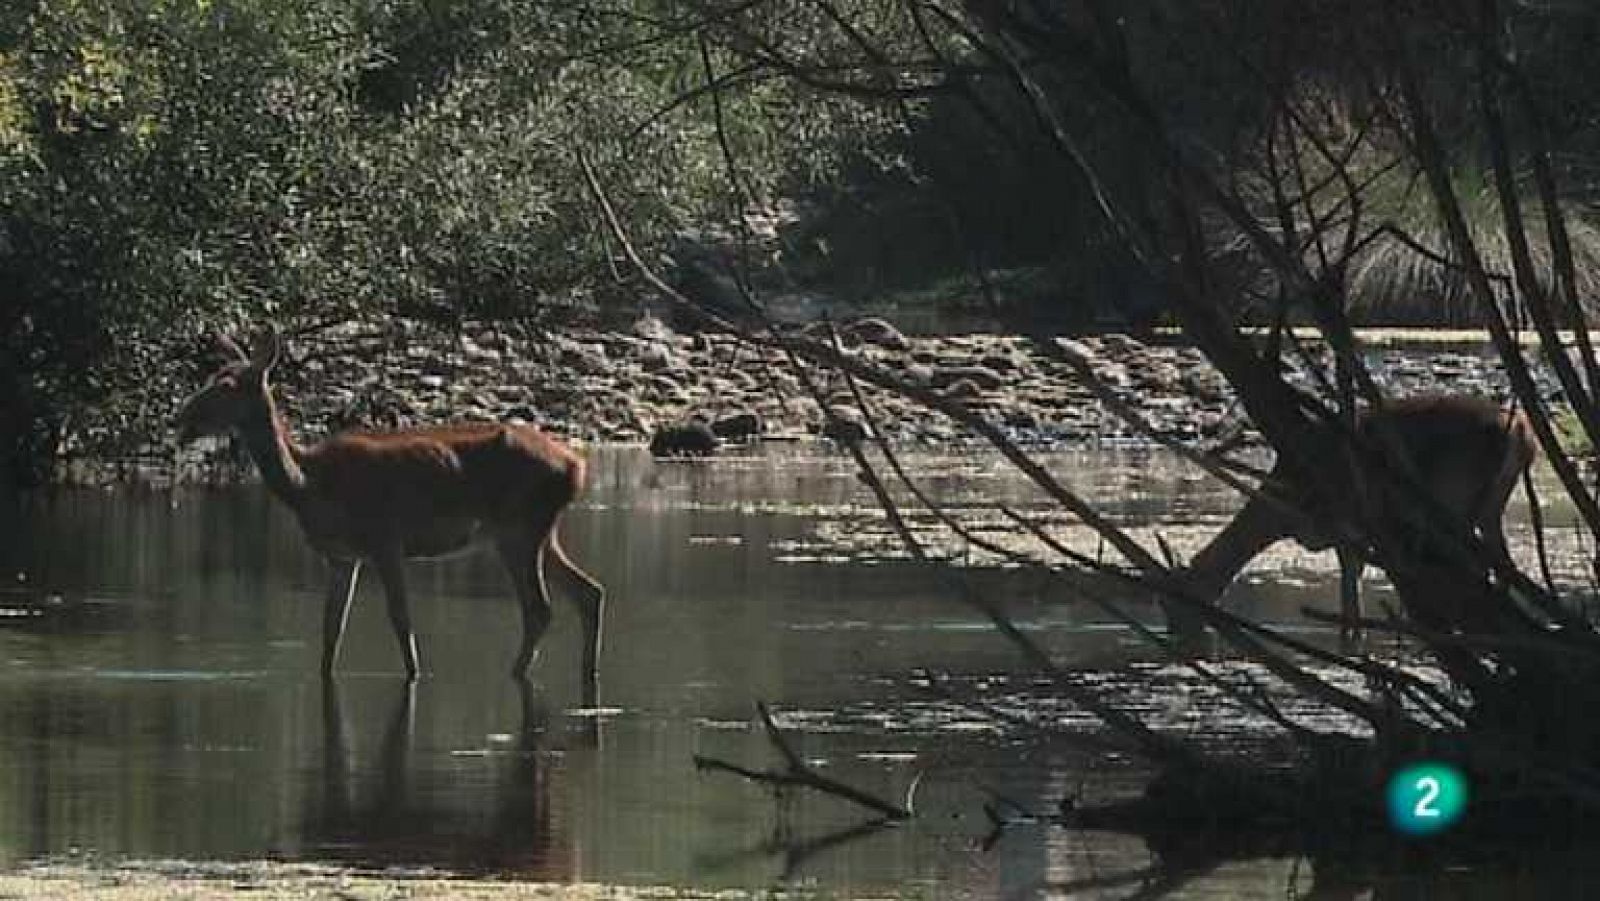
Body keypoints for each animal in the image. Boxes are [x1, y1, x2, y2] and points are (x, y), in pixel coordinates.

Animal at [173, 329, 601, 684]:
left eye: (226, 385)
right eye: (212, 378)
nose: (182, 417)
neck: (309, 485)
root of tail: (576, 466)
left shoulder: (385, 541)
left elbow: (400, 620)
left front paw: (414, 676)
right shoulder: (343, 557)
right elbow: (331, 630)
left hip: (520, 529)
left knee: (540, 608)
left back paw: (517, 672)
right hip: (536, 532)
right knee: (589, 592)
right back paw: (587, 672)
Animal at [1190, 396, 1536, 640]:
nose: (1187, 631)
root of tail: (1523, 434)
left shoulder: (1345, 522)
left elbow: (1349, 583)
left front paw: (1352, 637)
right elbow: (1350, 582)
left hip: (1456, 499)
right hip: (1489, 506)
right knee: (1501, 563)